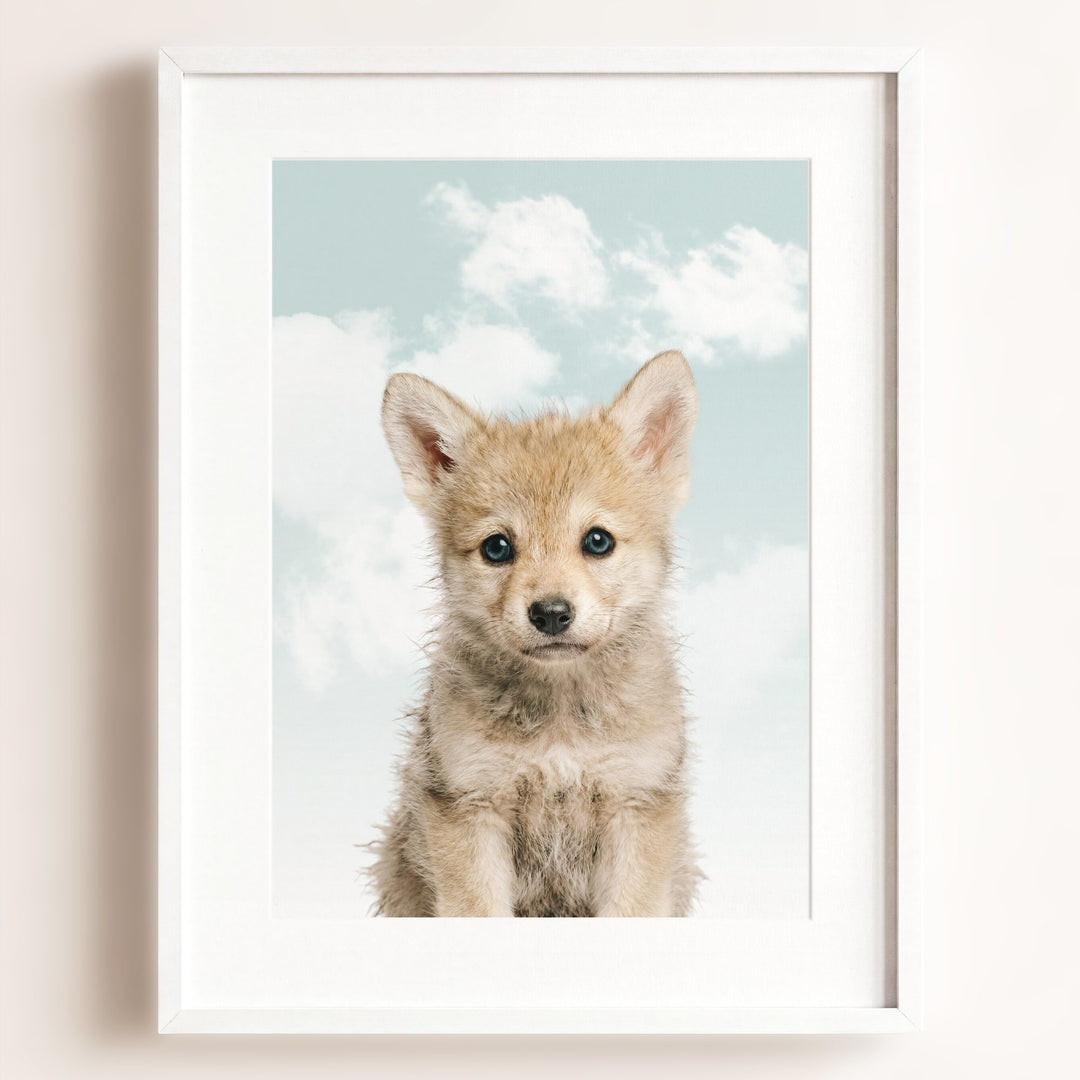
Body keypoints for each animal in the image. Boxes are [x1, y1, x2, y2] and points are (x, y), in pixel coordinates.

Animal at [370, 350, 701, 917]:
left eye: (597, 541)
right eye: (497, 548)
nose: (550, 613)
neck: (560, 725)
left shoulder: (636, 806)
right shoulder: (470, 807)